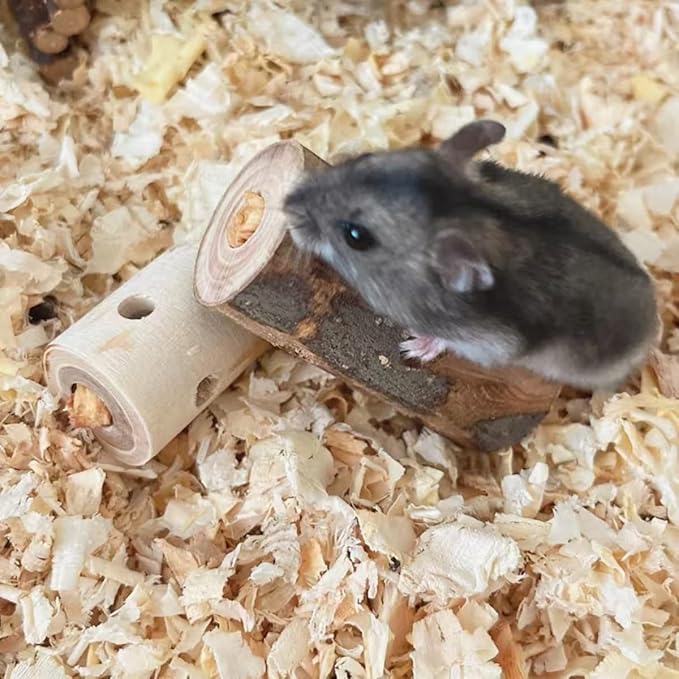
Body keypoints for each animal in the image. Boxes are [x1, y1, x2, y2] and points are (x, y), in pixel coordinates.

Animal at [282, 120, 659, 391]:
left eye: (356, 237)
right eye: (363, 160)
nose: (287, 204)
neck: (475, 214)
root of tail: (653, 325)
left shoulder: (490, 343)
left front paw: (412, 347)